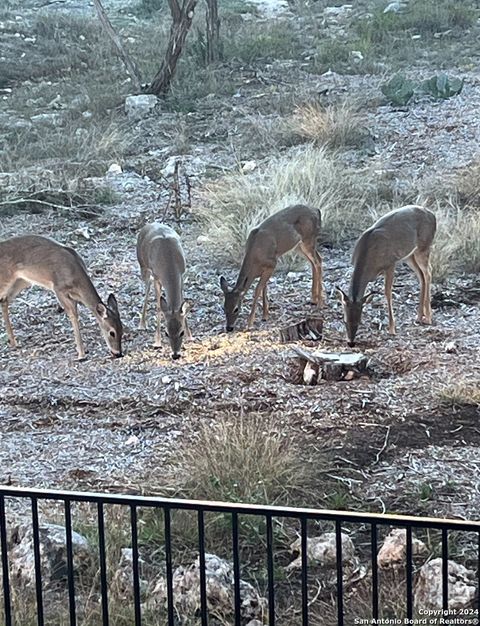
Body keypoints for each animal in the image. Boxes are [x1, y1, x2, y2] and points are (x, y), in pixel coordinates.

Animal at [136, 222, 190, 358]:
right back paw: (142, 324)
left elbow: (183, 304)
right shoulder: (157, 277)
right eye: (166, 333)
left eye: (181, 332)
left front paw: (190, 336)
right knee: (147, 287)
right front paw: (157, 342)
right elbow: (159, 307)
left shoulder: (182, 275)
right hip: (143, 266)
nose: (175, 354)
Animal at [219, 204, 324, 332]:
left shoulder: (273, 263)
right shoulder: (265, 269)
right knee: (313, 262)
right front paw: (265, 315)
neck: (255, 257)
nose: (229, 327)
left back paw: (320, 303)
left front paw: (250, 322)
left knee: (318, 261)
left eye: (236, 309)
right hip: (298, 246)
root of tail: (317, 210)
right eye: (224, 308)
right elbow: (264, 287)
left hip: (308, 240)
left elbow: (258, 289)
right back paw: (313, 299)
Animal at [336, 207, 436, 348]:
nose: (350, 342)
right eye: (344, 320)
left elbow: (387, 292)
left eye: (359, 321)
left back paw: (428, 317)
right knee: (421, 276)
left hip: (424, 246)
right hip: (409, 255)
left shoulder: (390, 263)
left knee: (428, 272)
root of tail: (432, 215)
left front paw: (392, 329)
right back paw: (419, 316)